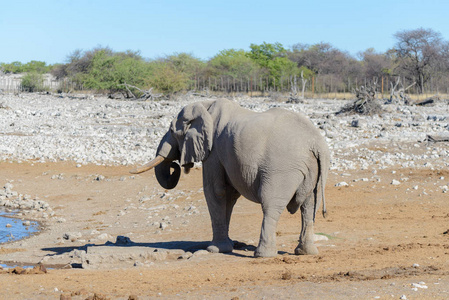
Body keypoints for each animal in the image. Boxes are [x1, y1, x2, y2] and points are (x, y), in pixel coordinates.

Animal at [130, 99, 328, 258]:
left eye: (172, 131)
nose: (175, 166)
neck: (206, 106)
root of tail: (316, 144)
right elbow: (229, 195)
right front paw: (227, 246)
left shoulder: (213, 152)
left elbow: (216, 191)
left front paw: (214, 249)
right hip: (316, 172)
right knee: (309, 207)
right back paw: (306, 253)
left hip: (281, 169)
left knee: (271, 205)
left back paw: (263, 255)